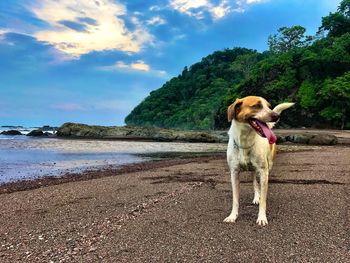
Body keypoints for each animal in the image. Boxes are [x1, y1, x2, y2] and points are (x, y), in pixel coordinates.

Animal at [223, 97, 294, 227]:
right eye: (257, 105)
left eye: (269, 106)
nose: (276, 116)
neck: (245, 141)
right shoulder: (234, 173)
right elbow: (235, 199)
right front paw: (232, 216)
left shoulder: (263, 171)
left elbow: (263, 200)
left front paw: (262, 217)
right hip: (253, 170)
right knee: (254, 182)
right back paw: (256, 197)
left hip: (267, 166)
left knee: (260, 184)